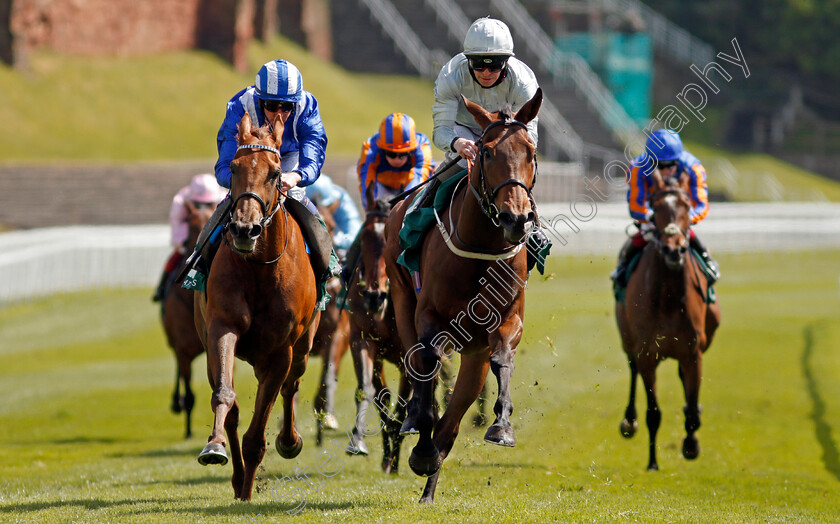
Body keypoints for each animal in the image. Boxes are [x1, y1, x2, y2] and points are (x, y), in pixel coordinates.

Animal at [194, 112, 322, 502]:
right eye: (234, 168)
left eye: (276, 173)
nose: (244, 229)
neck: (259, 269)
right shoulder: (221, 328)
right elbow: (225, 396)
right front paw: (215, 447)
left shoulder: (281, 351)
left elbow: (258, 431)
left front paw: (250, 487)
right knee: (234, 408)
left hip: (303, 346)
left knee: (292, 384)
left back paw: (288, 441)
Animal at [386, 90, 544, 504]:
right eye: (486, 152)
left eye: (531, 152)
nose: (515, 218)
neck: (481, 249)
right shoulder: (430, 318)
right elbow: (427, 366)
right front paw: (421, 441)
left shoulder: (507, 321)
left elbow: (503, 360)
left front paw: (501, 426)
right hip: (402, 300)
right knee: (418, 365)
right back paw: (418, 432)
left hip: (473, 353)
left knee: (455, 416)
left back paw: (430, 480)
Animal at [612, 169, 724, 470]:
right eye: (657, 206)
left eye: (686, 206)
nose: (674, 250)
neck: (669, 299)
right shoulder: (648, 354)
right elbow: (653, 412)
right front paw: (652, 462)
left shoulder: (693, 353)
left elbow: (692, 408)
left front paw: (691, 444)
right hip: (627, 337)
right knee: (631, 367)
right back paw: (629, 421)